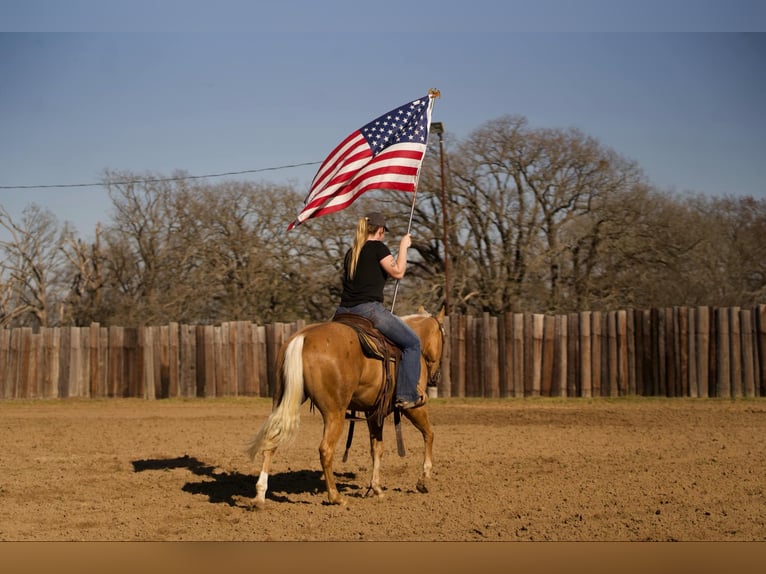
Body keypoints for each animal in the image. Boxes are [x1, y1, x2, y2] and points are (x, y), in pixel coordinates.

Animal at [249, 308, 448, 506]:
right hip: (334, 413)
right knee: (325, 449)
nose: (435, 377)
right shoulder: (413, 407)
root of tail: (303, 337)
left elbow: (377, 448)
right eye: (443, 337)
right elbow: (429, 434)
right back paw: (335, 497)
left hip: (282, 401)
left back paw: (260, 495)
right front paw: (423, 480)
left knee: (272, 440)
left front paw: (376, 488)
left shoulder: (373, 412)